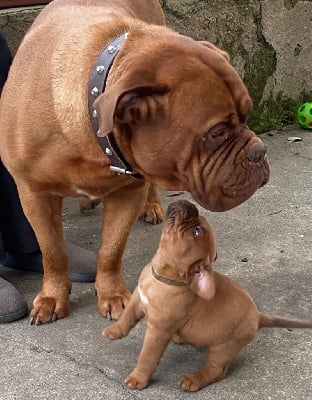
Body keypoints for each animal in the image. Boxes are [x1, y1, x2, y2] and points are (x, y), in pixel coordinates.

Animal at [0, 0, 268, 324]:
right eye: (216, 133)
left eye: (247, 114)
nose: (260, 152)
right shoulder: (33, 193)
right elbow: (52, 251)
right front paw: (52, 297)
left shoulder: (128, 191)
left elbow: (111, 249)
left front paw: (113, 296)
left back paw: (151, 206)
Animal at [103, 200, 312, 390]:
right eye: (198, 226)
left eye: (196, 231)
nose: (193, 206)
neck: (161, 278)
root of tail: (258, 316)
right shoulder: (137, 299)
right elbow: (127, 317)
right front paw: (114, 331)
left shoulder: (158, 331)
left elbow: (147, 356)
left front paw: (138, 378)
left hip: (225, 347)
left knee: (217, 370)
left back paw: (194, 379)